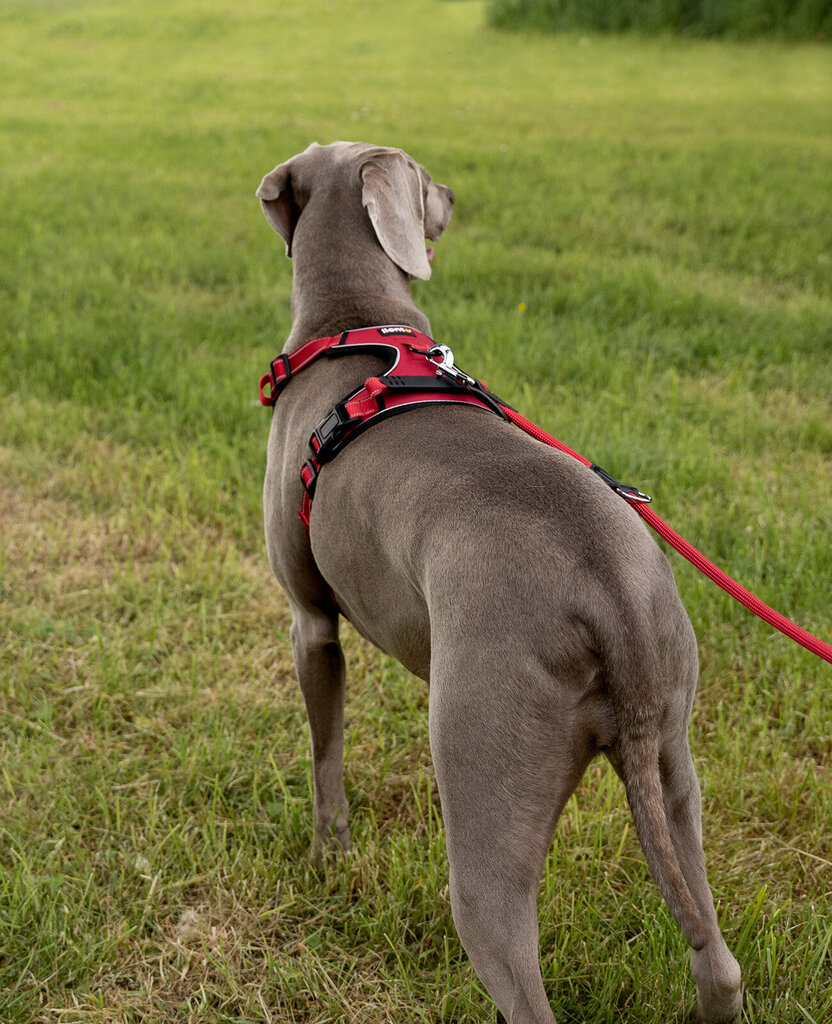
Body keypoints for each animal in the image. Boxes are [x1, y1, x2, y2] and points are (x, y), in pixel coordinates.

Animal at [255, 142, 741, 1024]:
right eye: (424, 177)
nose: (451, 193)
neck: (352, 323)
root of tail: (612, 598)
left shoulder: (311, 621)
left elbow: (324, 748)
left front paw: (328, 855)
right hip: (674, 753)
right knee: (718, 958)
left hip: (487, 772)